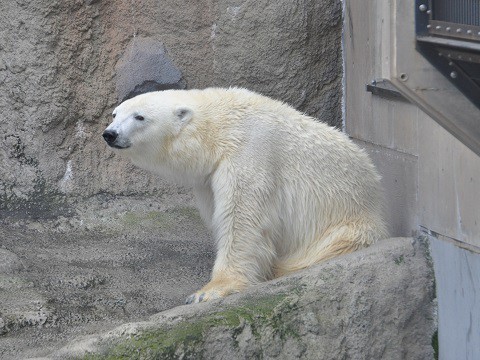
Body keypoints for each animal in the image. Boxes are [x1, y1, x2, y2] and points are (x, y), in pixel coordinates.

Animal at [103, 88, 388, 304]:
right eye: (115, 113)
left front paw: (208, 291)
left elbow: (242, 221)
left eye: (139, 117)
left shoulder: (250, 153)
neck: (221, 127)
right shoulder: (208, 181)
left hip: (347, 223)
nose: (110, 133)